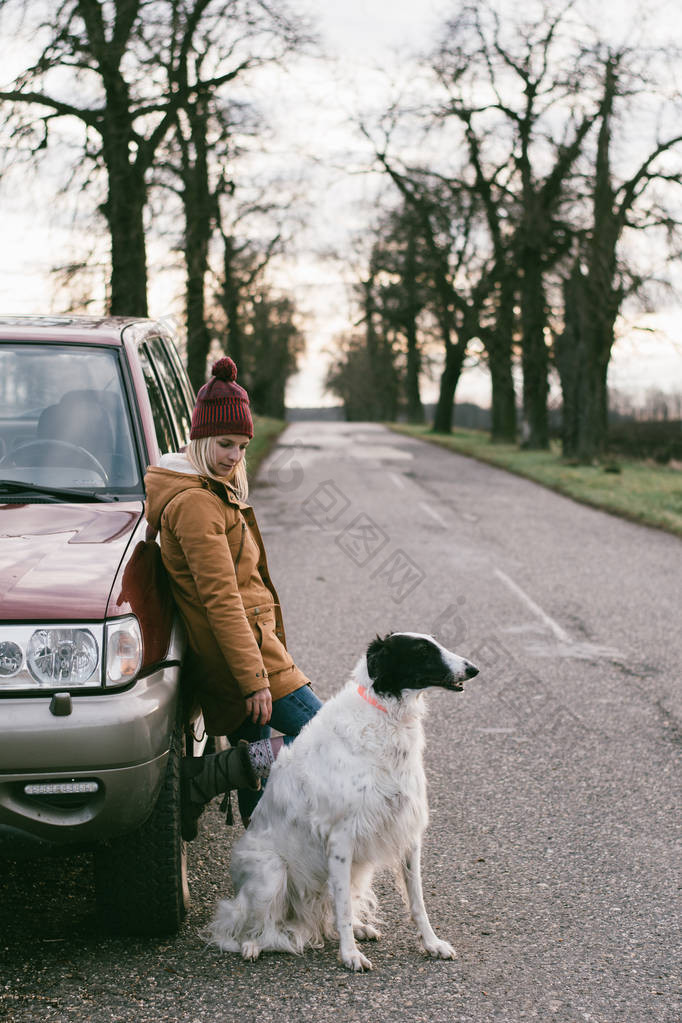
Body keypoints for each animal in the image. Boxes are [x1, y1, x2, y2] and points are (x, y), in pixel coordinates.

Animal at [205, 626, 478, 969]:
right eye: (422, 651)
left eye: (435, 644)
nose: (473, 669)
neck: (386, 715)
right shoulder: (341, 839)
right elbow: (344, 908)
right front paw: (350, 956)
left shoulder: (407, 833)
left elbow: (417, 902)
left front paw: (431, 944)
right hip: (272, 872)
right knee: (248, 924)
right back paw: (252, 944)